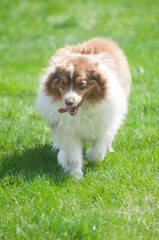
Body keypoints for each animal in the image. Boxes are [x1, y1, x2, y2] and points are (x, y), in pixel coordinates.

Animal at [36, 36, 132, 177]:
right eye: (62, 83)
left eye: (81, 84)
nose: (68, 102)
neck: (84, 107)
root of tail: (100, 38)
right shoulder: (67, 130)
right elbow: (73, 155)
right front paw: (76, 175)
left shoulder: (104, 123)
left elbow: (99, 152)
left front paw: (89, 155)